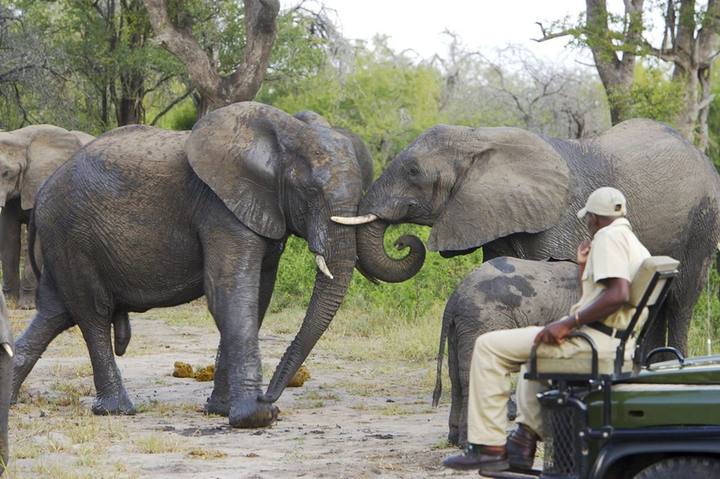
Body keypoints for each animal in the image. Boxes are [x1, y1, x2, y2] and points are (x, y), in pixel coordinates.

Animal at [11, 102, 365, 429]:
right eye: (309, 191)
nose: (270, 395)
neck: (282, 134)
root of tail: (41, 195)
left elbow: (258, 297)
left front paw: (220, 410)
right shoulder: (220, 209)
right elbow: (229, 293)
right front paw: (256, 416)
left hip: (64, 243)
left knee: (55, 313)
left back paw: (12, 400)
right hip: (71, 236)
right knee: (91, 313)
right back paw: (117, 410)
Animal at [348, 118, 720, 357]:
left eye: (413, 172)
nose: (403, 241)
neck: (480, 138)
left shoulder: (562, 219)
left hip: (703, 221)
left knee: (681, 298)